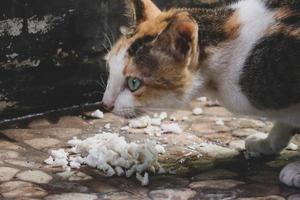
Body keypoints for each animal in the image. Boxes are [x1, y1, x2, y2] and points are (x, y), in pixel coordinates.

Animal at [102, 0, 298, 188]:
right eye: (109, 69)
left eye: (133, 83)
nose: (105, 103)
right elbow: (285, 122)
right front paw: (267, 143)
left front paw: (296, 170)